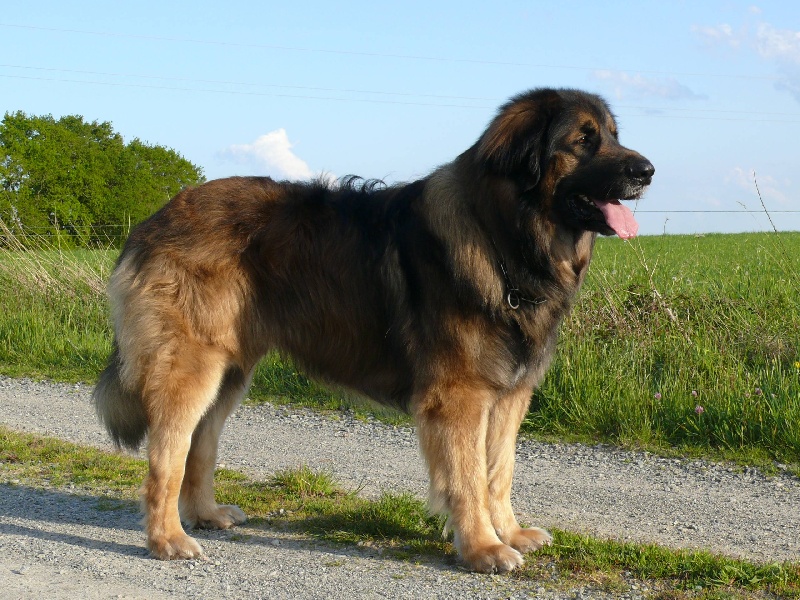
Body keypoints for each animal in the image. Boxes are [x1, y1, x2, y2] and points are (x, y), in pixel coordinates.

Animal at [93, 87, 653, 573]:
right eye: (582, 140)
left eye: (612, 134)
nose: (647, 170)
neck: (504, 236)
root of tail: (153, 220)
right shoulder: (460, 396)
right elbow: (469, 477)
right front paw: (482, 548)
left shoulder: (510, 393)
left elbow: (500, 471)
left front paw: (510, 533)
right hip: (192, 366)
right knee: (166, 457)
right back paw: (167, 538)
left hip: (229, 371)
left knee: (200, 445)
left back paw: (206, 514)